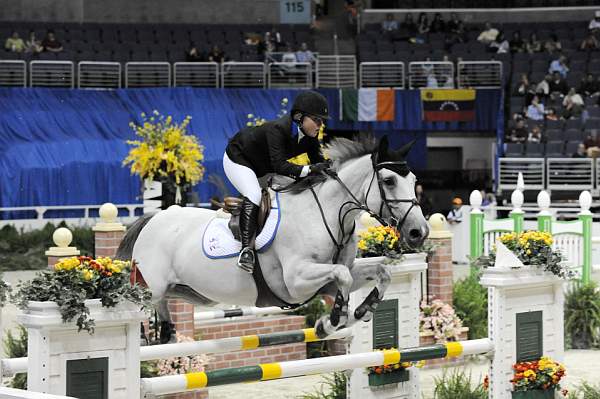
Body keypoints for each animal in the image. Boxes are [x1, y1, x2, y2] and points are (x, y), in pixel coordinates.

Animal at [116, 136, 426, 342]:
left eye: (413, 180)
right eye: (388, 181)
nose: (418, 232)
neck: (326, 214)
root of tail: (152, 219)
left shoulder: (326, 280)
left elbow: (380, 272)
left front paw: (361, 311)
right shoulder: (296, 281)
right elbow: (343, 276)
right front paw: (332, 321)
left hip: (182, 290)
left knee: (164, 309)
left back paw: (166, 333)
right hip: (148, 288)